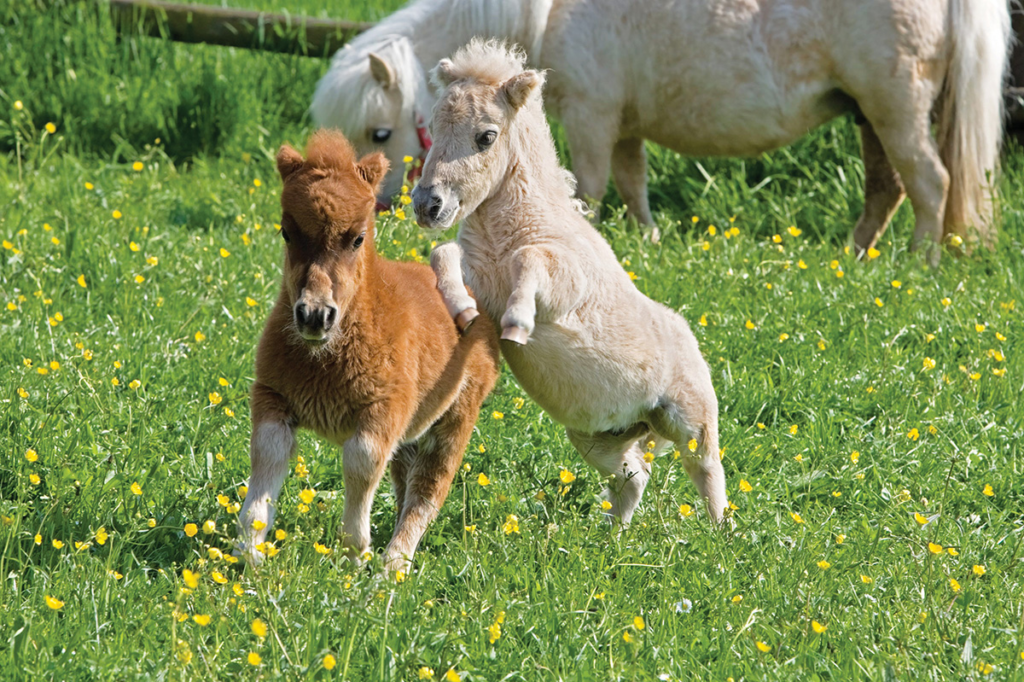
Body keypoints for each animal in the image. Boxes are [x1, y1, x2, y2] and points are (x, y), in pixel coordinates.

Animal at [235, 130, 499, 572]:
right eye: (287, 232)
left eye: (358, 237)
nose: (314, 315)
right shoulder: (272, 395)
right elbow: (267, 456)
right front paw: (248, 551)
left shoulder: (385, 409)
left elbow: (361, 460)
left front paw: (354, 554)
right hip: (414, 432)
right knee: (405, 479)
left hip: (457, 418)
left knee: (428, 490)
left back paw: (392, 569)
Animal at [313, 0, 1010, 262]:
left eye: (380, 134)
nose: (376, 211)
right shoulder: (623, 125)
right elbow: (633, 183)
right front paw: (646, 238)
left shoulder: (593, 117)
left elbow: (592, 187)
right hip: (870, 114)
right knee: (887, 187)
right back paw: (854, 256)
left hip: (895, 108)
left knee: (930, 182)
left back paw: (920, 261)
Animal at [412, 40, 729, 525]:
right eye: (432, 126)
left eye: (486, 136)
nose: (428, 205)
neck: (510, 233)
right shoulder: (480, 279)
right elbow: (442, 254)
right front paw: (460, 310)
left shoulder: (564, 282)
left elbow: (531, 262)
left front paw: (518, 324)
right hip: (596, 437)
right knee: (633, 477)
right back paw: (613, 535)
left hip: (690, 418)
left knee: (707, 469)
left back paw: (720, 533)